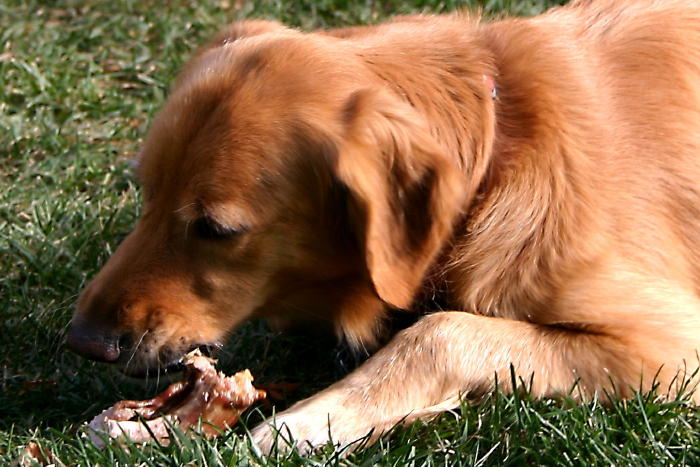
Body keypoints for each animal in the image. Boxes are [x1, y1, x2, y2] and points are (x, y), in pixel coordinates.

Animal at [68, 0, 700, 454]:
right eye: (147, 193)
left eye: (216, 229)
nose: (84, 343)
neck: (501, 144)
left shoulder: (670, 348)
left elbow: (438, 331)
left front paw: (300, 426)